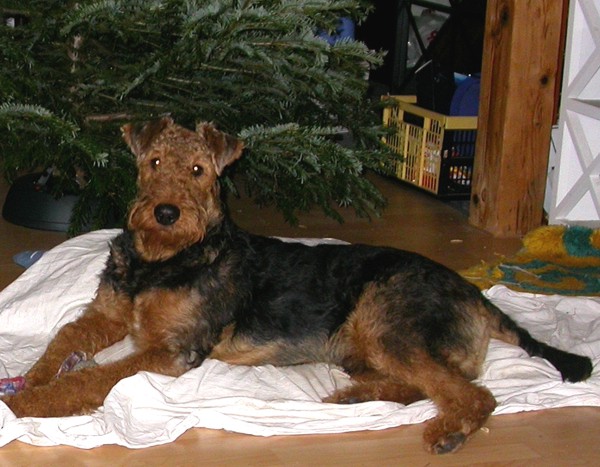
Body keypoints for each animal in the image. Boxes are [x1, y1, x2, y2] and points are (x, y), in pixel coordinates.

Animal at [0, 119, 592, 456]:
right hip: (365, 346)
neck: (162, 260)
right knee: (427, 385)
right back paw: (354, 396)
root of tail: (476, 294)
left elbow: (92, 378)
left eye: (199, 170)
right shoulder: (107, 314)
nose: (165, 213)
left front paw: (25, 406)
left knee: (470, 393)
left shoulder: (170, 349)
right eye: (154, 162)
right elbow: (61, 346)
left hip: (390, 323)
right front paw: (28, 382)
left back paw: (443, 433)